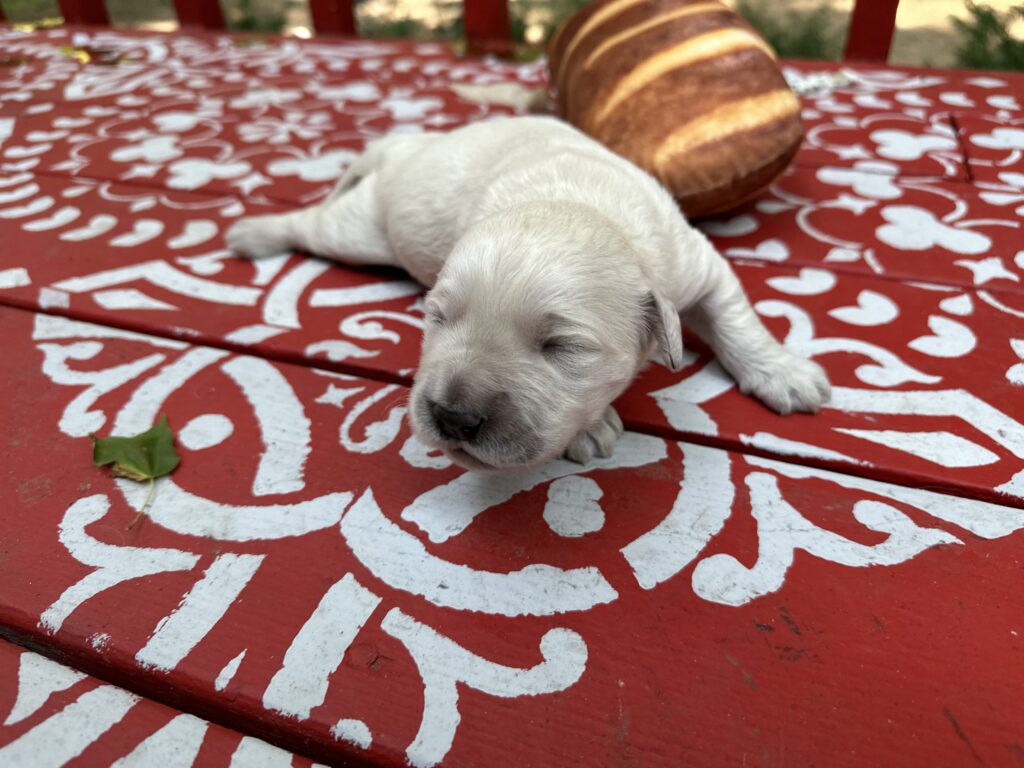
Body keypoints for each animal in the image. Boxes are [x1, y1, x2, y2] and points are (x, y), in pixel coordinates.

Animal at [227, 116, 830, 472]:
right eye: (437, 318)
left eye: (562, 347)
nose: (453, 419)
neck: (575, 202)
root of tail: (407, 146)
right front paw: (592, 427)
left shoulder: (695, 262)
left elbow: (735, 316)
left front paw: (783, 373)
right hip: (359, 230)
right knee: (310, 223)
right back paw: (253, 233)